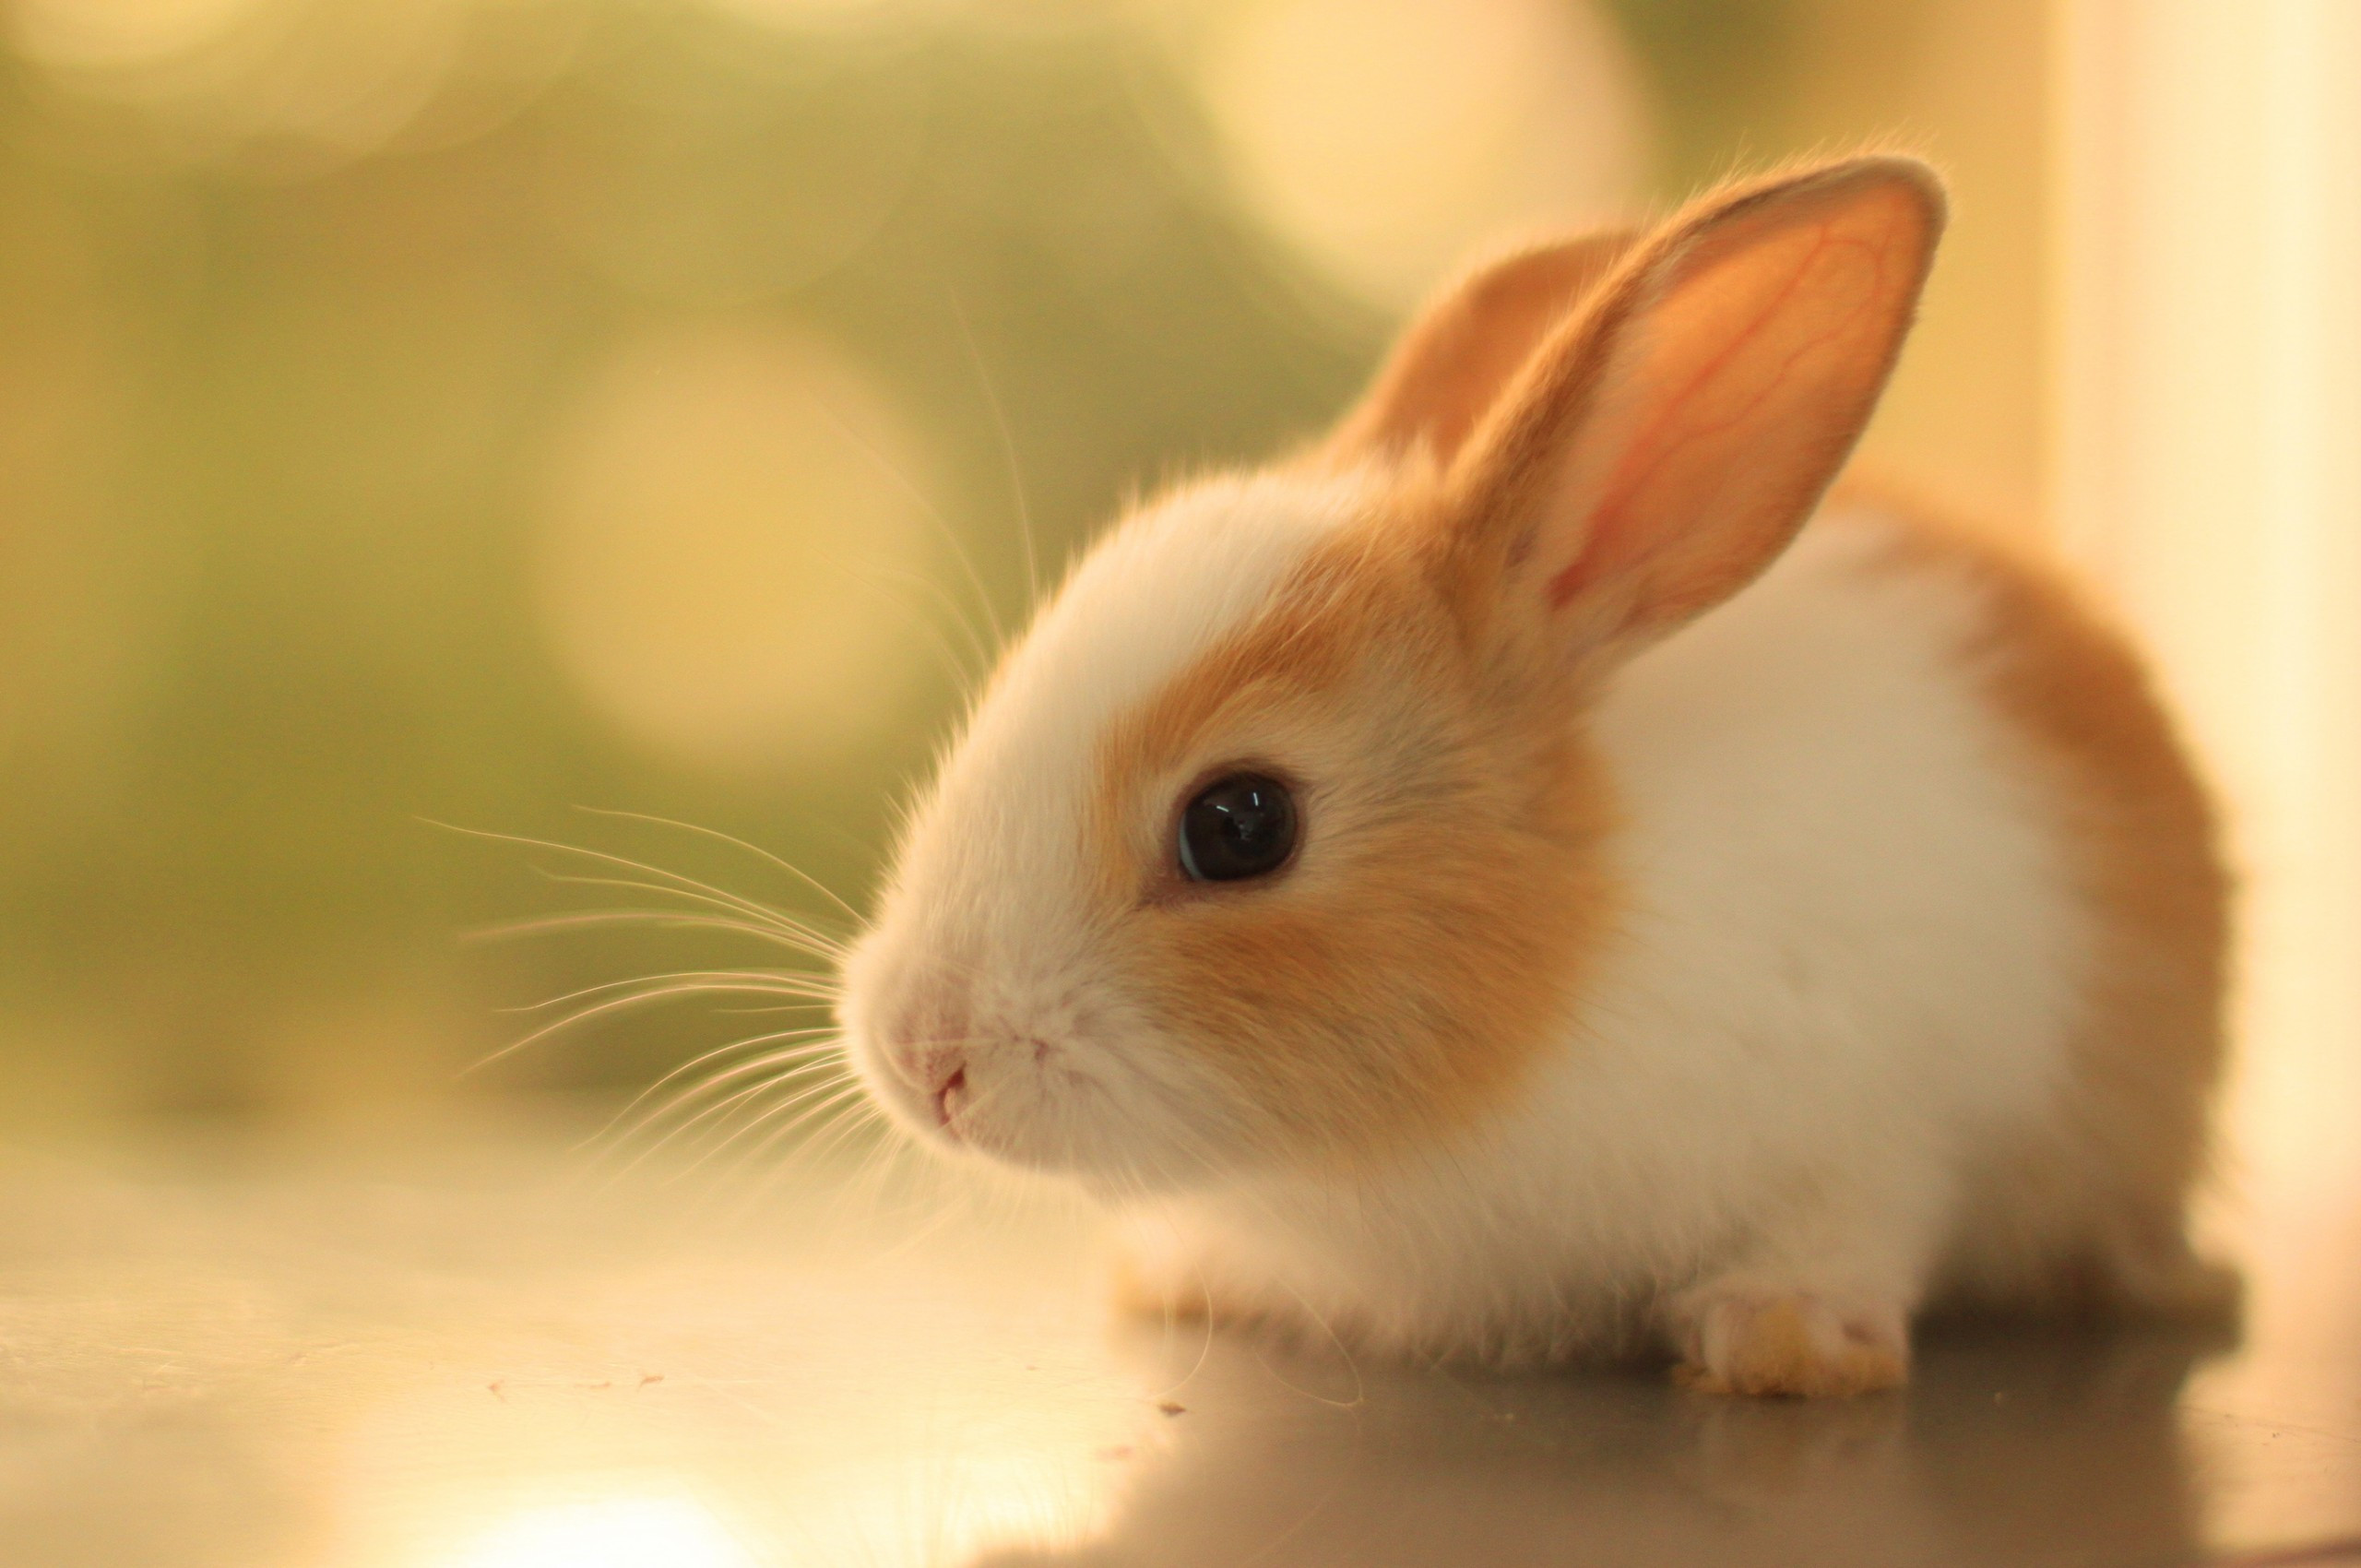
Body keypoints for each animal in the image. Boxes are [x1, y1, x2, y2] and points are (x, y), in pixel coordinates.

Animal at [838, 155, 2235, 1396]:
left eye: (1240, 824)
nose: (924, 1054)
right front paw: (1186, 1276)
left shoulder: (1888, 1121)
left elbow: (1852, 1221)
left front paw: (1783, 1340)